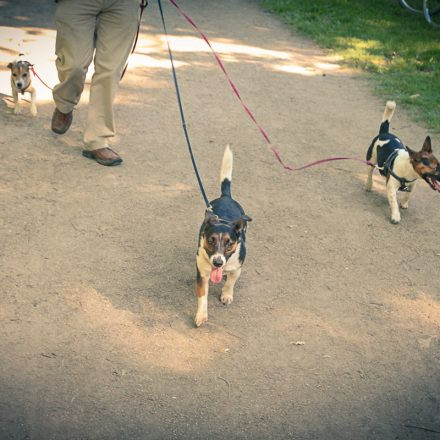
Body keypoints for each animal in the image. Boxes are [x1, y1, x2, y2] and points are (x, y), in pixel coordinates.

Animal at [195, 145, 253, 326]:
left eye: (229, 242)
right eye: (211, 240)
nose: (218, 263)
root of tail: (226, 197)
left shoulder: (237, 268)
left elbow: (231, 282)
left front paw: (226, 295)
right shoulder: (202, 273)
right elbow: (202, 296)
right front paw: (201, 315)